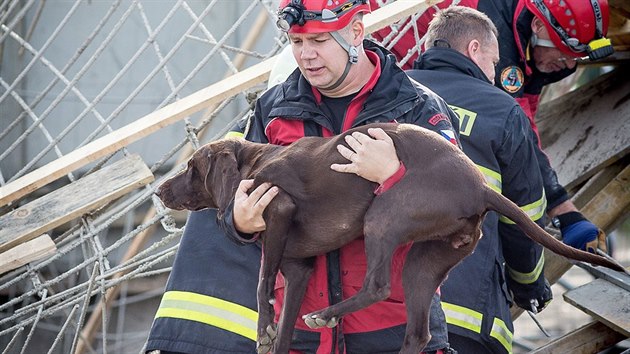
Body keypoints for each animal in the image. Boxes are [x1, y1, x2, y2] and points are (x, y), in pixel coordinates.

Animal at [157, 122, 624, 354]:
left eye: (190, 168)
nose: (160, 191)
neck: (254, 161)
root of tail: (480, 187)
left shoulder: (279, 209)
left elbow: (260, 286)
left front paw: (264, 329)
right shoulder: (299, 270)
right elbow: (286, 326)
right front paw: (275, 334)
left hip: (383, 216)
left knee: (379, 285)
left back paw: (326, 315)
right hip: (424, 262)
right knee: (418, 333)